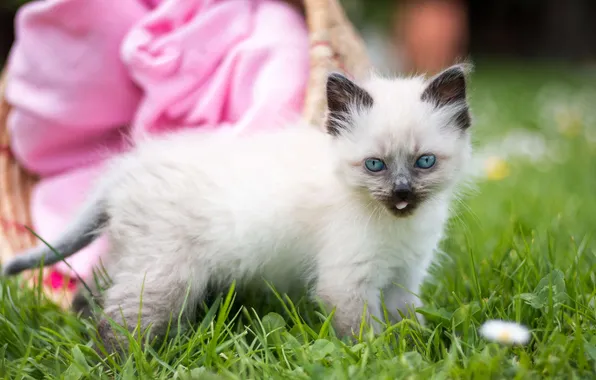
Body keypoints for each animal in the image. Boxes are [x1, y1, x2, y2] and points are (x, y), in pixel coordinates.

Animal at [2, 63, 472, 352]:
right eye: (375, 165)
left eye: (424, 162)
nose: (402, 193)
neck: (398, 227)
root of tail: (124, 169)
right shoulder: (346, 283)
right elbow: (365, 336)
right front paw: (379, 357)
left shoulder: (404, 278)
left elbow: (408, 321)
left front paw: (416, 350)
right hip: (166, 275)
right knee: (117, 324)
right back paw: (121, 362)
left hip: (135, 260)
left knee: (90, 294)